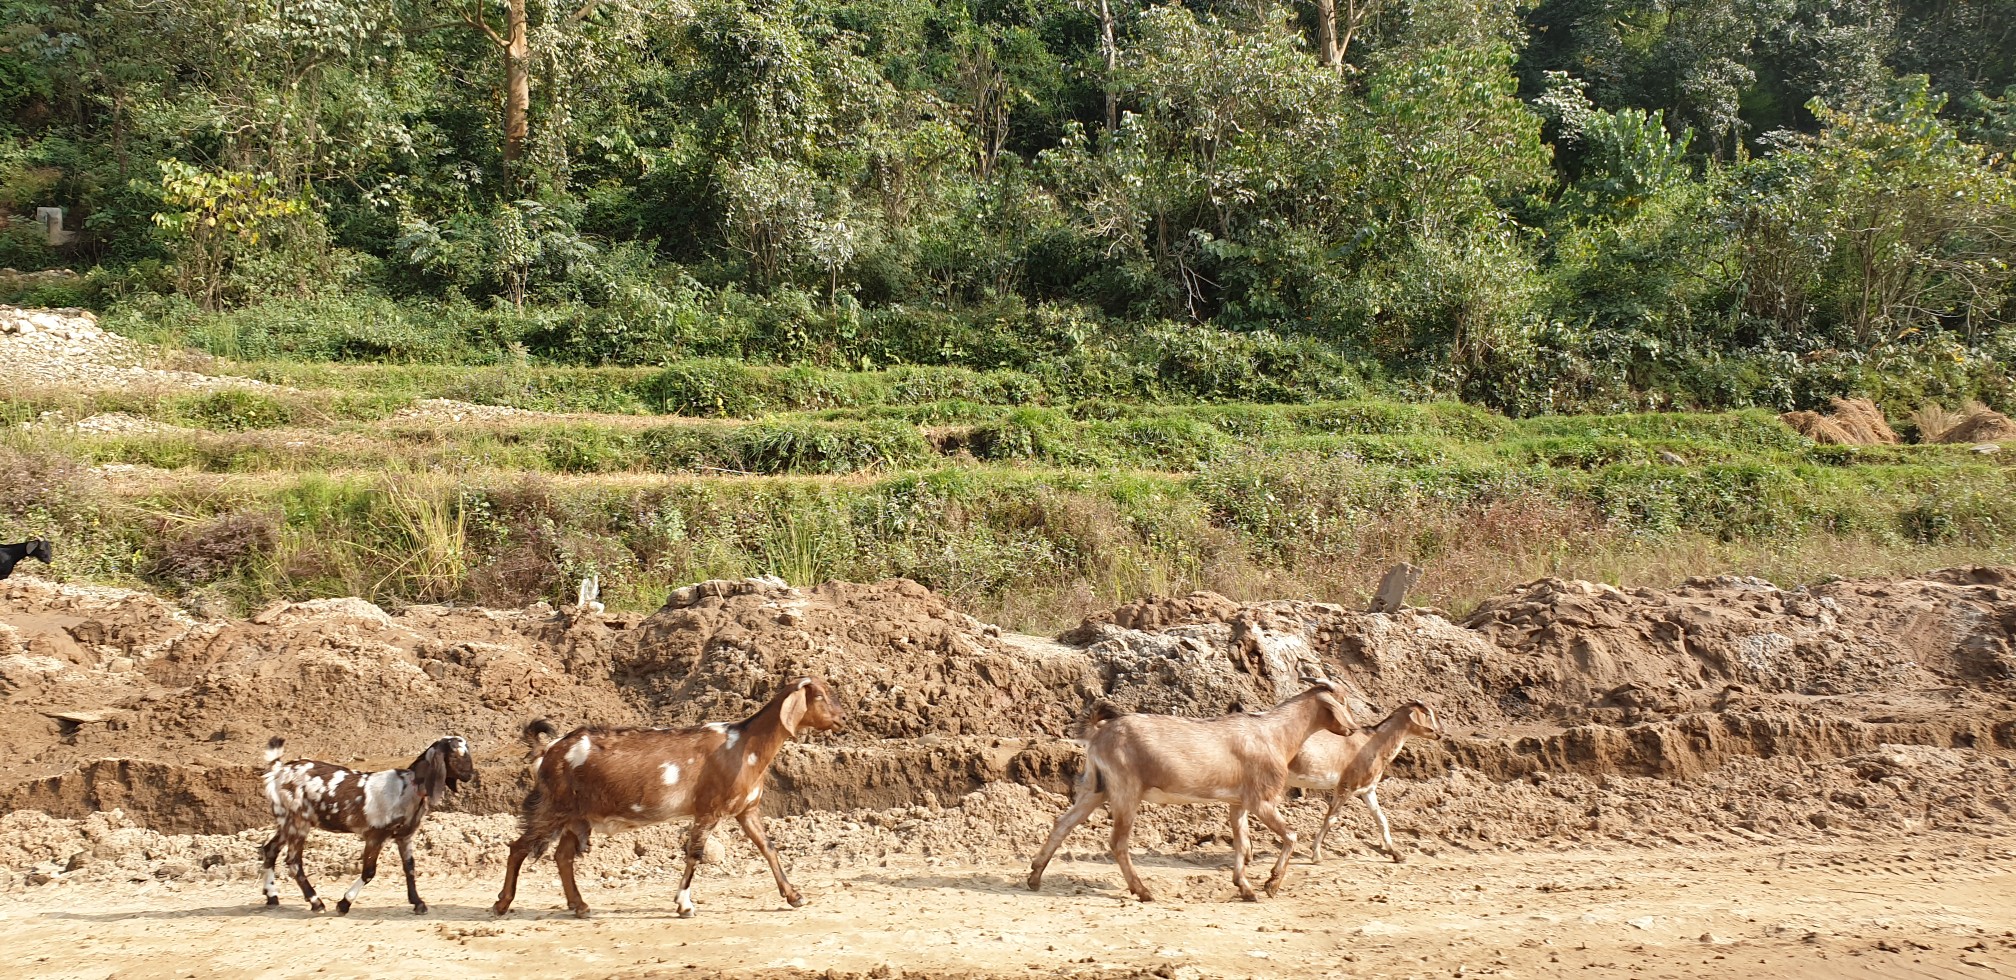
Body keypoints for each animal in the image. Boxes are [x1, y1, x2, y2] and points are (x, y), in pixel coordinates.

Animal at [260, 738, 475, 915]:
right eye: (457, 754)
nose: (471, 774)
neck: (408, 787)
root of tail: (279, 771)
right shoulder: (375, 836)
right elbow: (369, 872)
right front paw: (344, 904)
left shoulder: (404, 836)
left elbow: (410, 868)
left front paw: (418, 903)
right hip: (299, 823)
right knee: (293, 861)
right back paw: (316, 902)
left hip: (286, 823)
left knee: (270, 849)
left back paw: (272, 897)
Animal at [491, 673, 846, 919]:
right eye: (820, 695)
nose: (843, 718)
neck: (746, 746)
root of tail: (549, 750)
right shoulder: (709, 809)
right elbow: (695, 854)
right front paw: (684, 905)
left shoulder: (746, 810)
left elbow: (768, 848)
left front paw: (794, 896)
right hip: (554, 806)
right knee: (518, 847)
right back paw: (502, 903)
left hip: (576, 815)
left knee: (563, 857)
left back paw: (579, 905)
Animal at [1032, 677, 1362, 899]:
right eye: (1343, 700)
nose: (1353, 728)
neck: (1276, 734)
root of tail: (1098, 734)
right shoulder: (1262, 800)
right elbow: (1290, 835)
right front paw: (1271, 884)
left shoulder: (1238, 803)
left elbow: (1241, 843)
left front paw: (1245, 888)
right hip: (1126, 790)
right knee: (1118, 842)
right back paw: (1143, 891)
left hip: (1094, 788)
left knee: (1062, 823)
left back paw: (1034, 876)